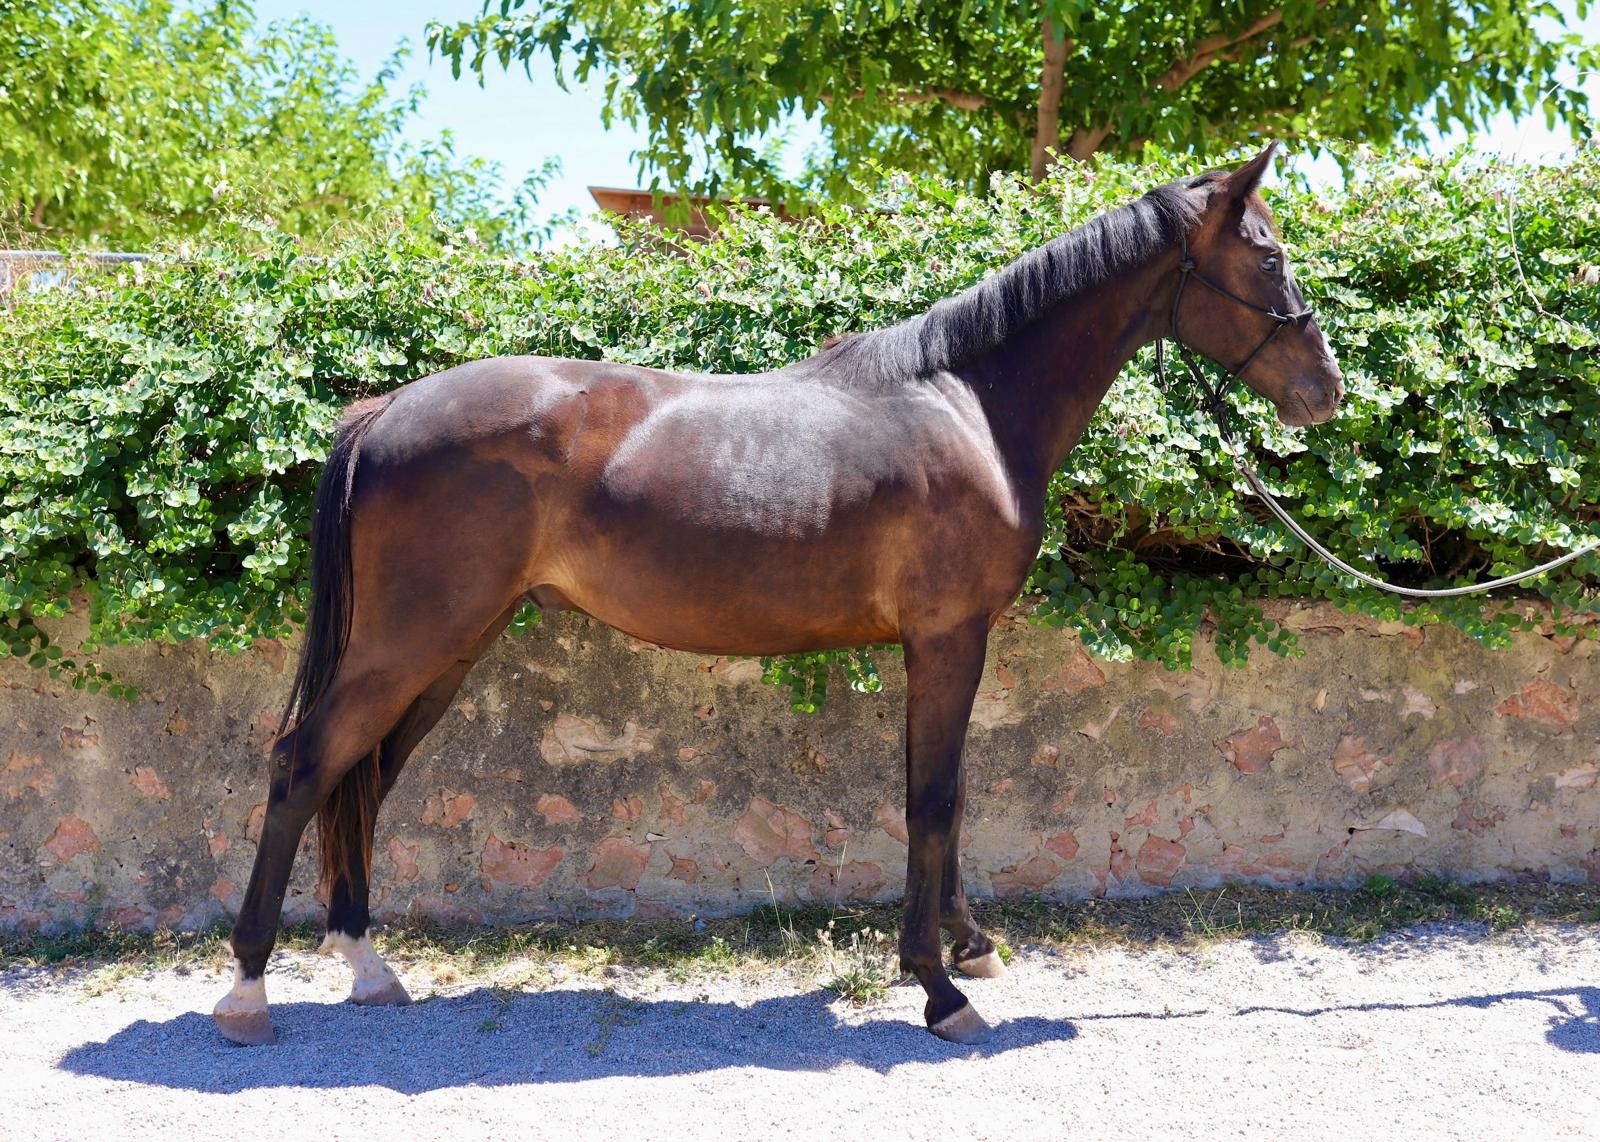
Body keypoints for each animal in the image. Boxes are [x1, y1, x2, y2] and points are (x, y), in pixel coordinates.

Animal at [213, 142, 1344, 1047]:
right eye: (1269, 254)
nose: (1326, 391)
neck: (966, 403)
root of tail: (387, 407)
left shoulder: (947, 640)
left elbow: (948, 790)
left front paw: (968, 946)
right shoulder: (948, 636)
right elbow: (932, 796)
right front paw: (939, 988)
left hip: (449, 647)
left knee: (363, 776)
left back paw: (367, 964)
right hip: (410, 641)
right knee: (304, 761)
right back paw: (248, 989)